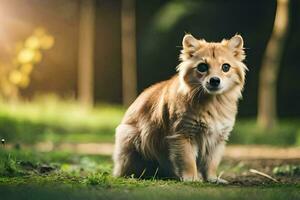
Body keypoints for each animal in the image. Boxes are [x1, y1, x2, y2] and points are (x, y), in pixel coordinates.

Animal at [112, 33, 246, 183]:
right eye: (202, 67)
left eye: (225, 67)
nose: (215, 80)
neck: (213, 102)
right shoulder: (182, 135)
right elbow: (188, 161)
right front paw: (191, 178)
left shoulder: (217, 139)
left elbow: (211, 163)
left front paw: (212, 179)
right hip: (131, 138)